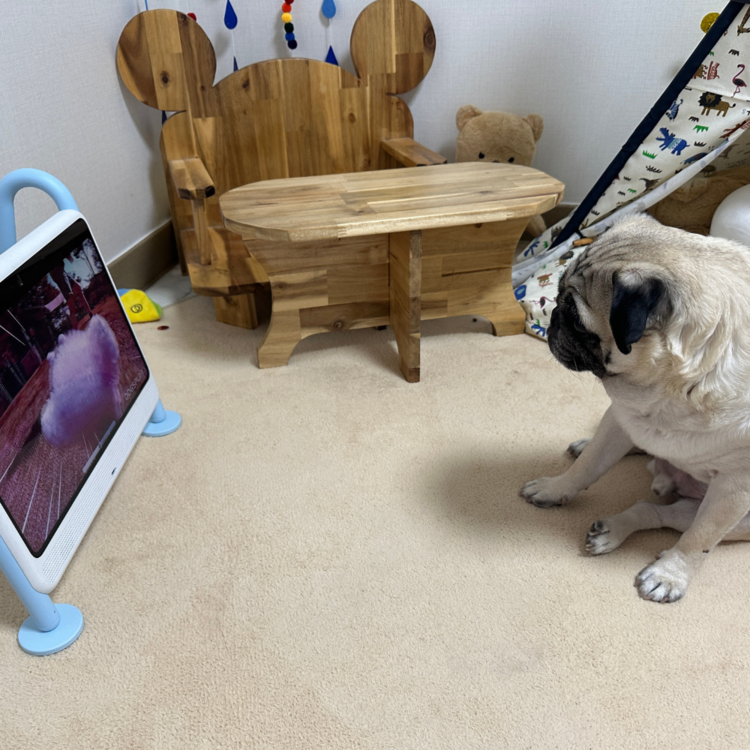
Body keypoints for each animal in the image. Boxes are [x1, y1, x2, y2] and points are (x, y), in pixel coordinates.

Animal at [519, 213, 750, 603]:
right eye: (559, 294)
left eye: (577, 321)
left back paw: (617, 531)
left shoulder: (735, 489)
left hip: (738, 520)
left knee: (664, 516)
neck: (672, 387)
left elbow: (698, 540)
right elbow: (587, 467)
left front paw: (671, 574)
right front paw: (555, 488)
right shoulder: (622, 414)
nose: (553, 318)